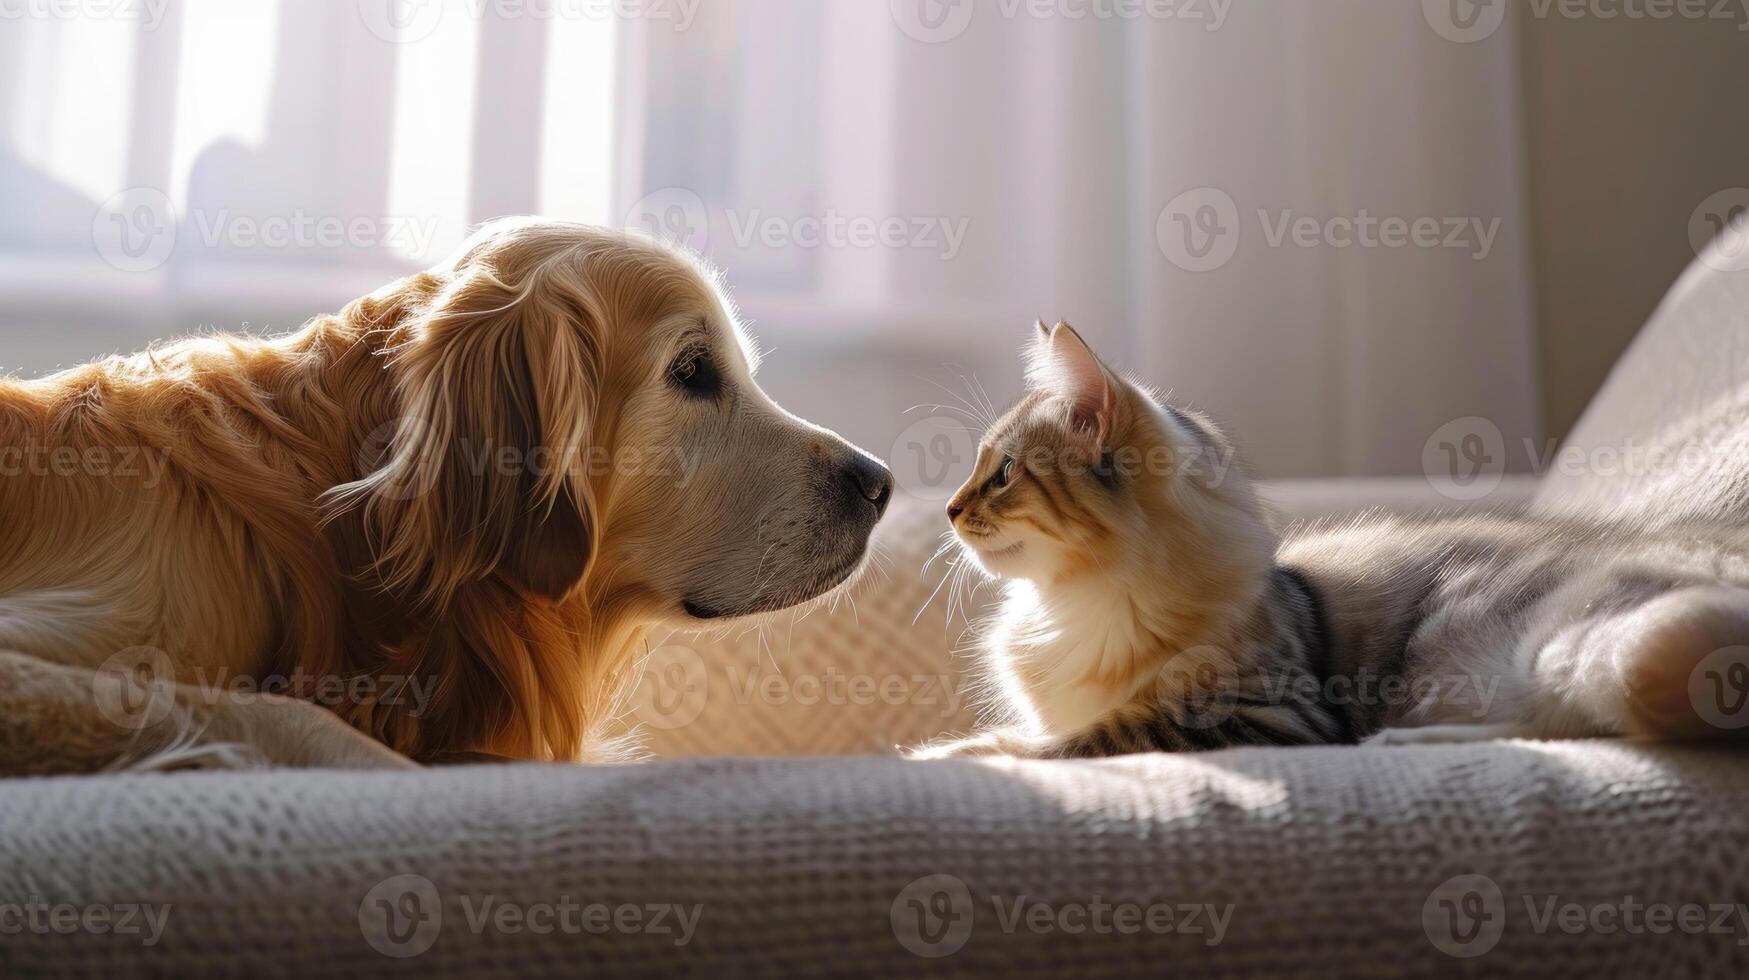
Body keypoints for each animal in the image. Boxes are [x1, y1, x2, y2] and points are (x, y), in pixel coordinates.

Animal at [909, 322, 1749, 759]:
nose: (947, 510)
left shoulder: (1271, 715)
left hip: (1590, 643)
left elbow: (1096, 735)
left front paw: (962, 753)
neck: (1074, 604)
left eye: (1001, 474)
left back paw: (1402, 745)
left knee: (1597, 728)